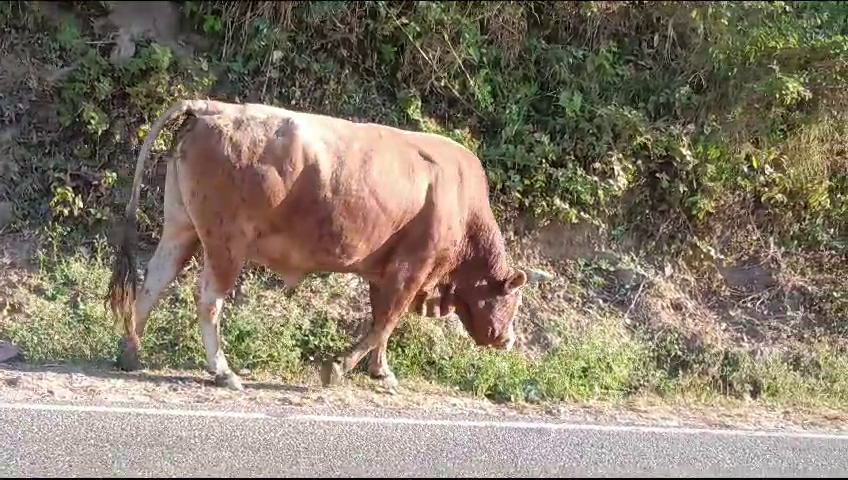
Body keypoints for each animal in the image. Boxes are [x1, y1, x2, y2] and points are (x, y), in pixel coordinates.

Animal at [104, 99, 548, 392]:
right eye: (513, 299)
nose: (508, 339)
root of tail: (211, 108)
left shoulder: (383, 271)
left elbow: (381, 323)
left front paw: (381, 371)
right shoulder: (410, 269)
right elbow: (385, 323)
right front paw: (337, 367)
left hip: (181, 228)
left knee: (153, 281)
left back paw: (130, 352)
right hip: (224, 244)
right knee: (209, 302)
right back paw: (223, 371)